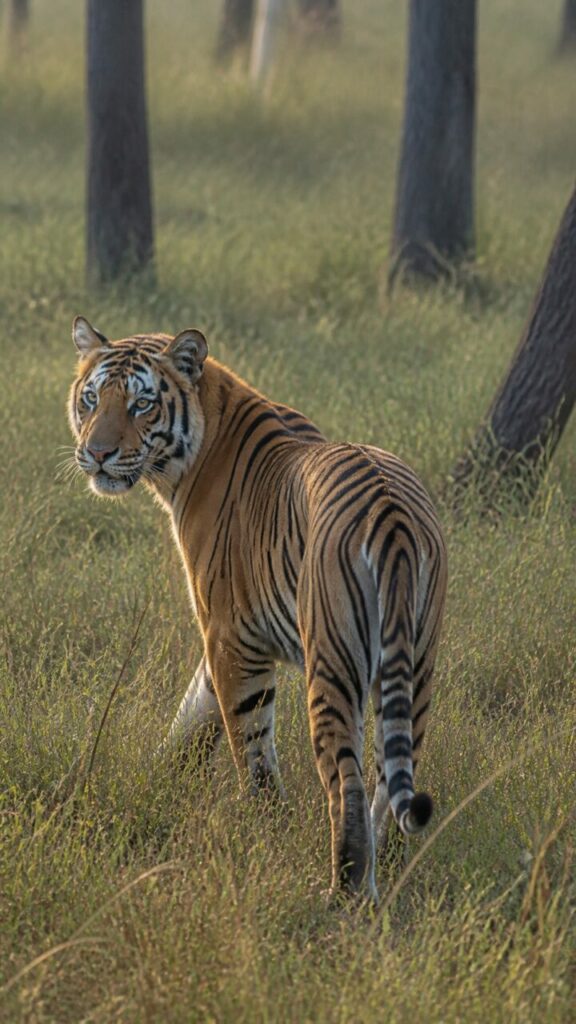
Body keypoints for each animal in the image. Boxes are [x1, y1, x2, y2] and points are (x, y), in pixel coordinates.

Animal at [68, 316, 447, 902]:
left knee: (348, 784)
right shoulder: (221, 639)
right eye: (91, 399)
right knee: (391, 778)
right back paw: (384, 877)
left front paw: (265, 827)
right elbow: (191, 716)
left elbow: (250, 749)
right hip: (415, 669)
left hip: (333, 663)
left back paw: (345, 897)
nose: (98, 453)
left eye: (140, 405)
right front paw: (155, 779)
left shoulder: (231, 637)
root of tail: (392, 512)